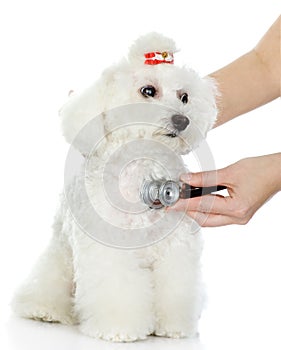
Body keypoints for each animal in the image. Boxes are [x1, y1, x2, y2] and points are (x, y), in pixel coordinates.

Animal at [11, 32, 217, 342]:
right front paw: (120, 329)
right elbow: (117, 291)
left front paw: (174, 327)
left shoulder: (176, 250)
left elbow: (175, 288)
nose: (183, 120)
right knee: (48, 278)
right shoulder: (109, 251)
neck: (143, 169)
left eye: (184, 96)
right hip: (61, 250)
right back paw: (44, 309)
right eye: (148, 91)